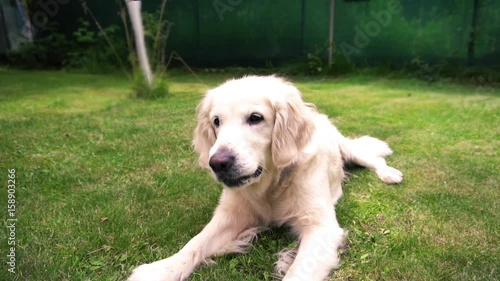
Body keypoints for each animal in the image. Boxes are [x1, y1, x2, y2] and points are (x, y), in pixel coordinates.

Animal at [129, 75, 402, 278]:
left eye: (255, 118)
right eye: (216, 121)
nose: (217, 163)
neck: (271, 185)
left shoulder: (321, 228)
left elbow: (297, 273)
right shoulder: (231, 214)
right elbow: (194, 244)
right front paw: (160, 269)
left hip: (348, 148)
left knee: (373, 158)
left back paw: (390, 174)